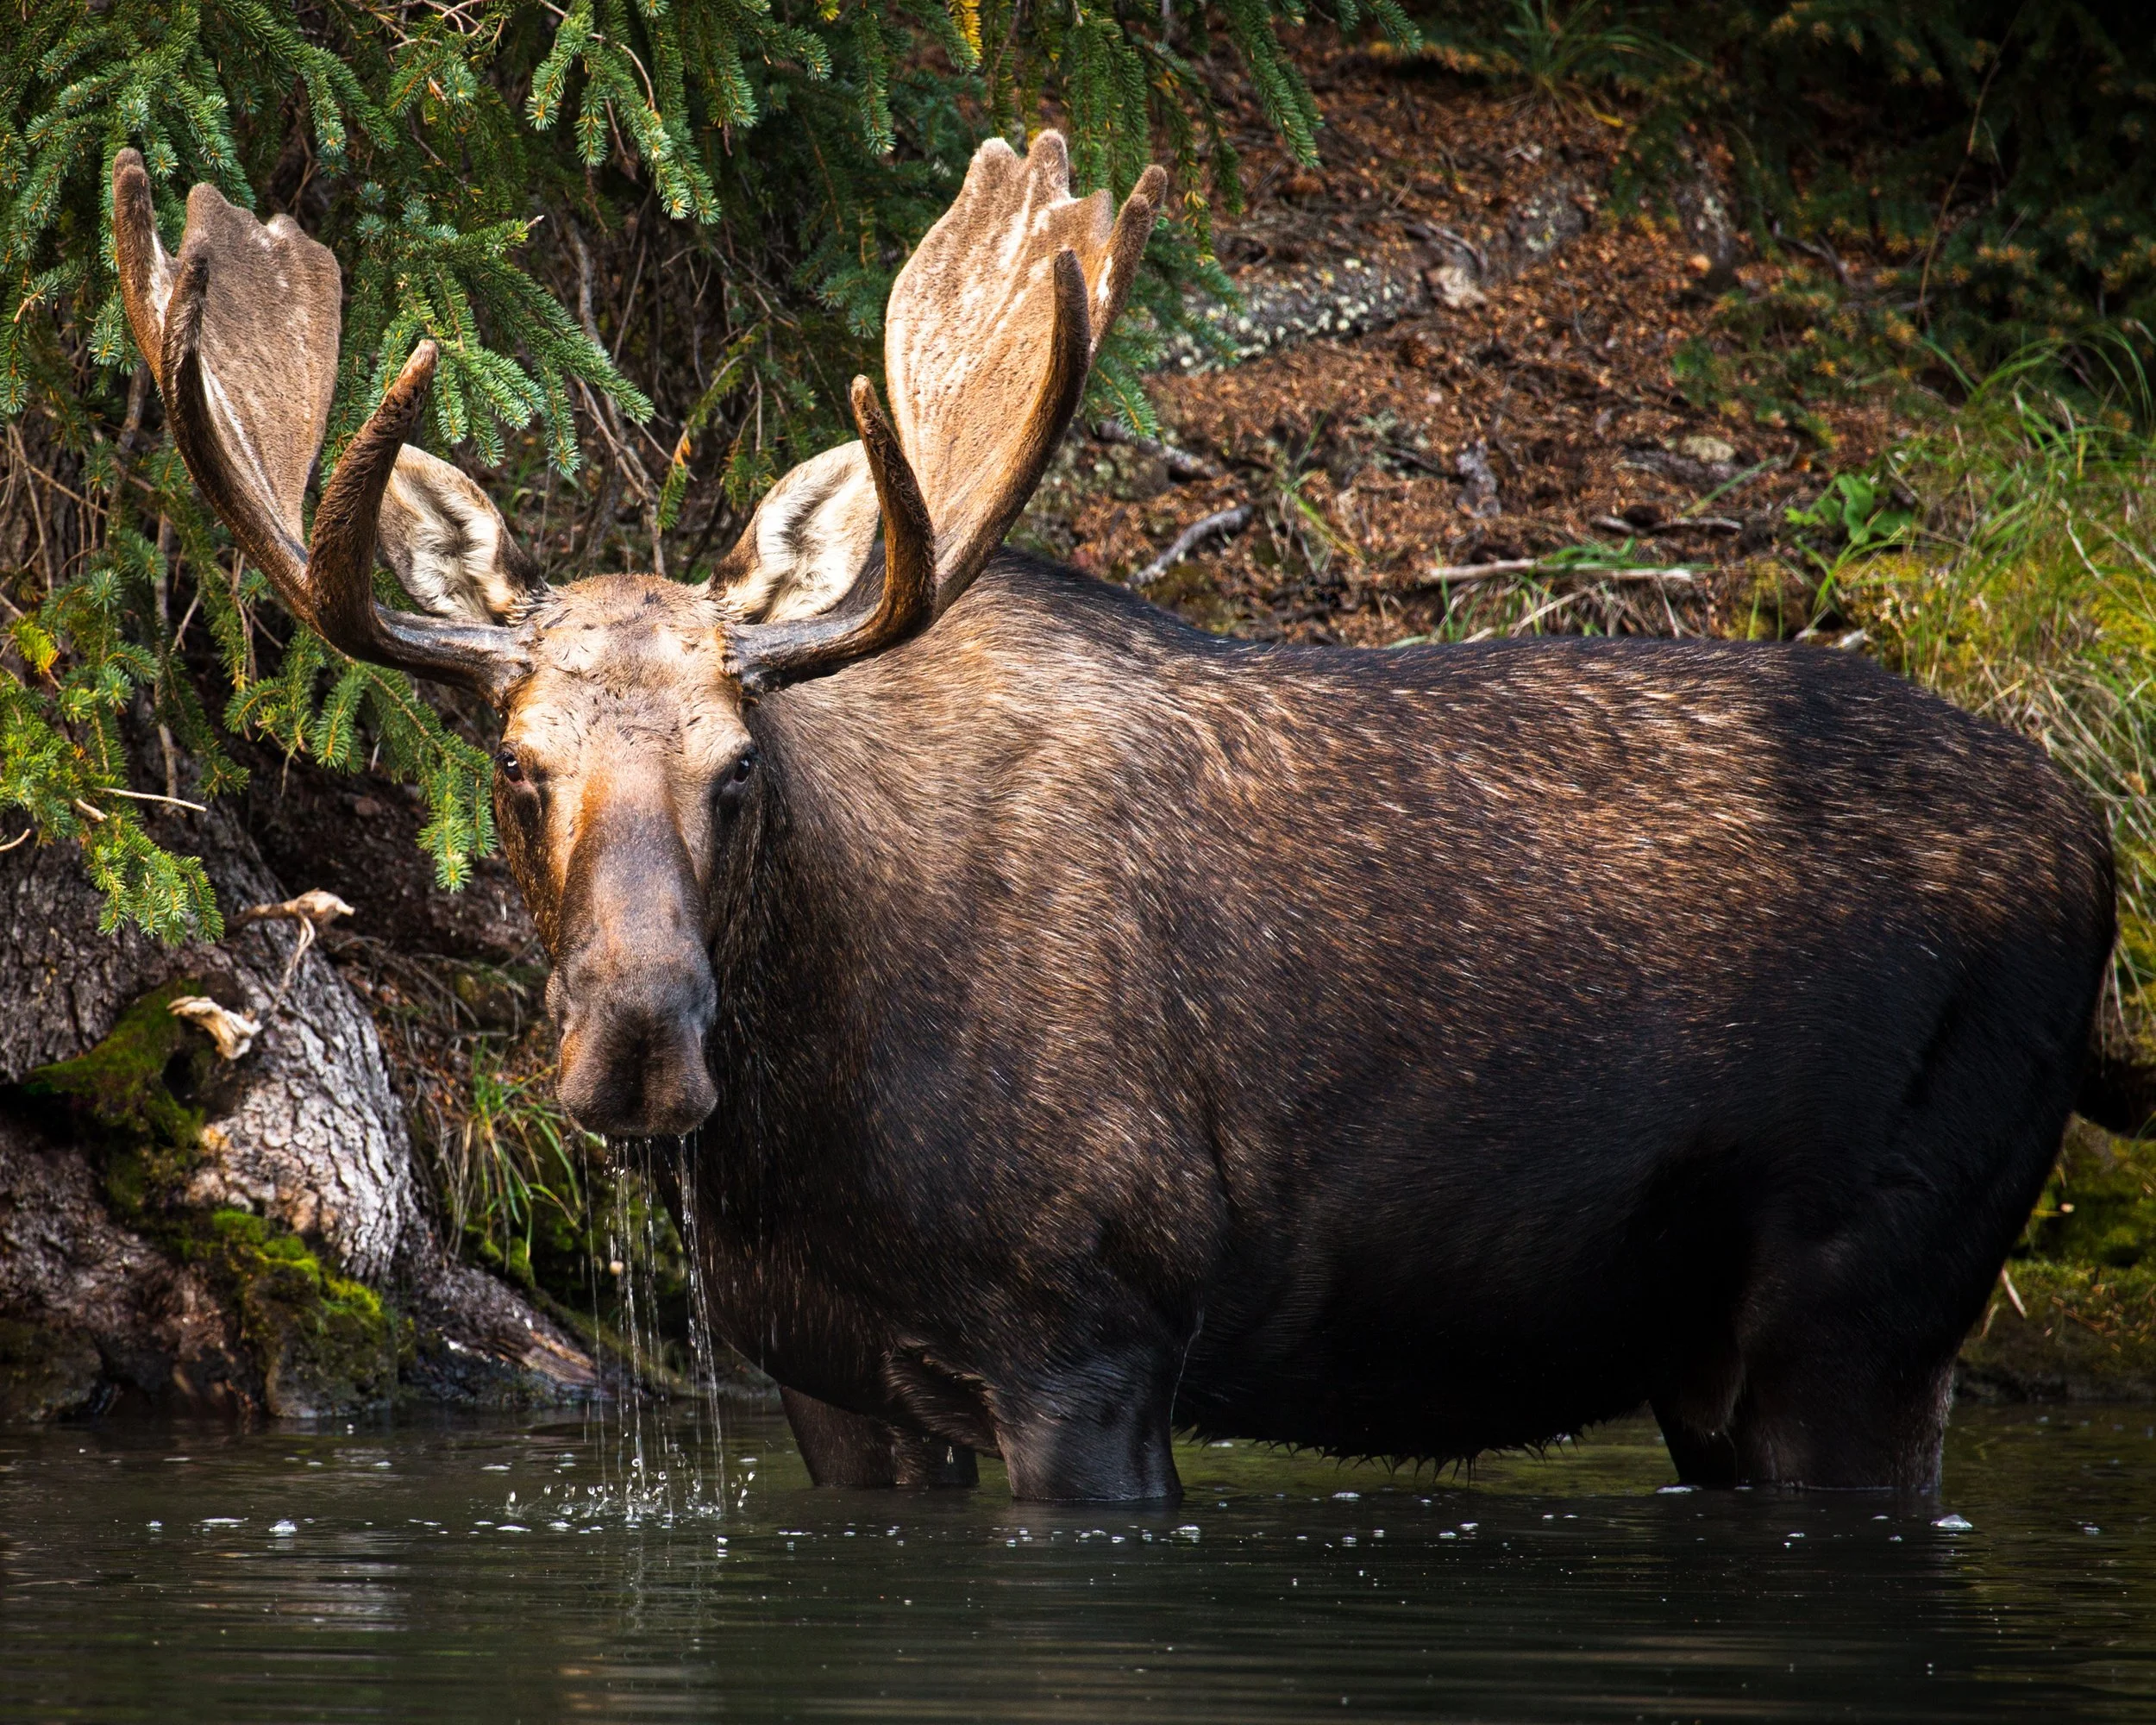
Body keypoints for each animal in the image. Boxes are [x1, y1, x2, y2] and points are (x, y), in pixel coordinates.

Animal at [112, 135, 2122, 1504]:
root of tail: (2096, 840)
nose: (638, 1043)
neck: (812, 1120)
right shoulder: (831, 1383)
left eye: (739, 766)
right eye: (518, 764)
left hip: (1875, 1303)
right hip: (1732, 1353)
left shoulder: (1093, 1345)